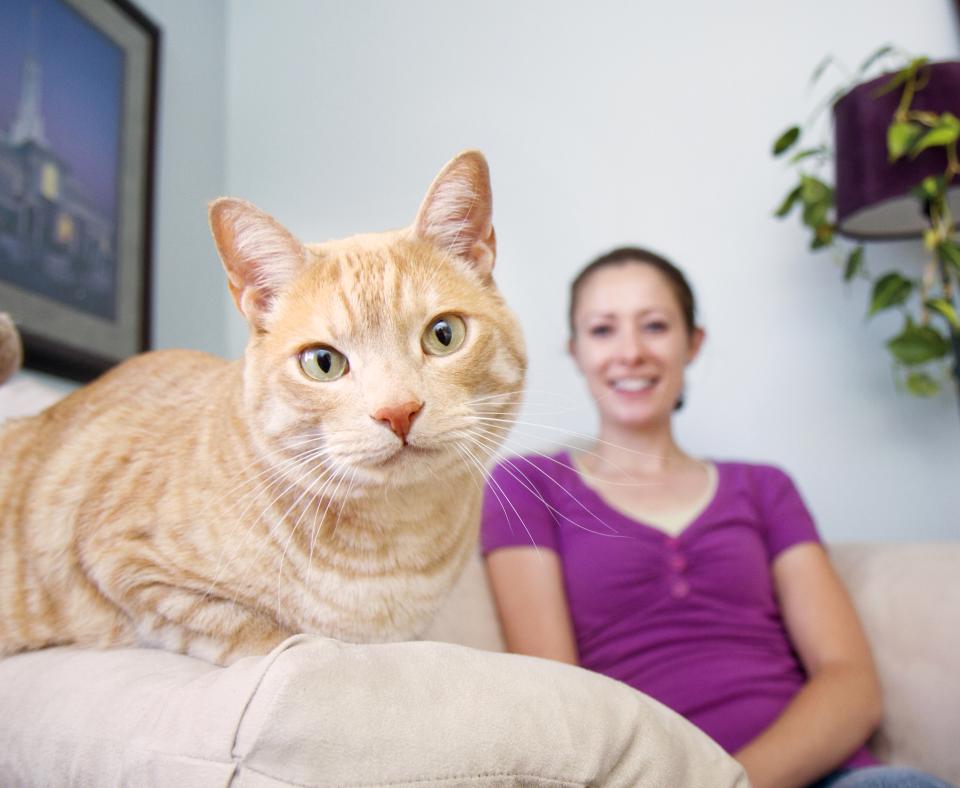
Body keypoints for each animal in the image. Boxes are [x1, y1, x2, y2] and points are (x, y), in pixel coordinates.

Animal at [0, 149, 524, 664]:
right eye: (323, 363)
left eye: (444, 335)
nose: (398, 411)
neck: (399, 539)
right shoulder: (126, 566)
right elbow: (268, 636)